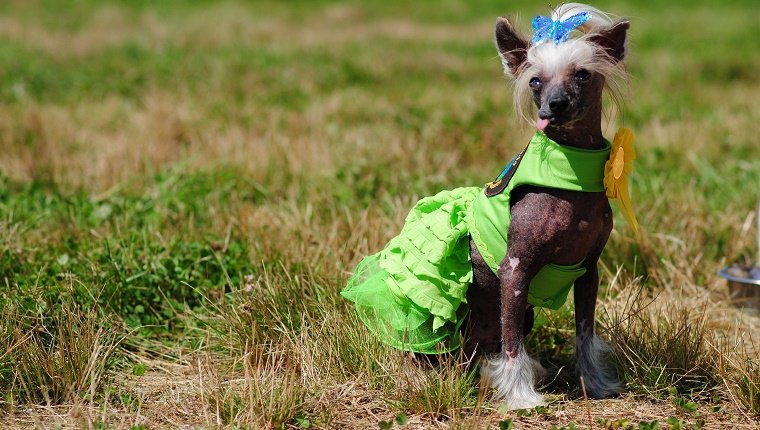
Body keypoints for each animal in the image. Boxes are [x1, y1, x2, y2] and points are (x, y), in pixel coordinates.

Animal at [342, 2, 628, 410]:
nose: (555, 106)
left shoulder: (588, 271)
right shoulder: (515, 270)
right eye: (535, 82)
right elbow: (512, 346)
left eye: (582, 74)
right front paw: (521, 397)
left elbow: (584, 335)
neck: (569, 175)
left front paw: (596, 383)